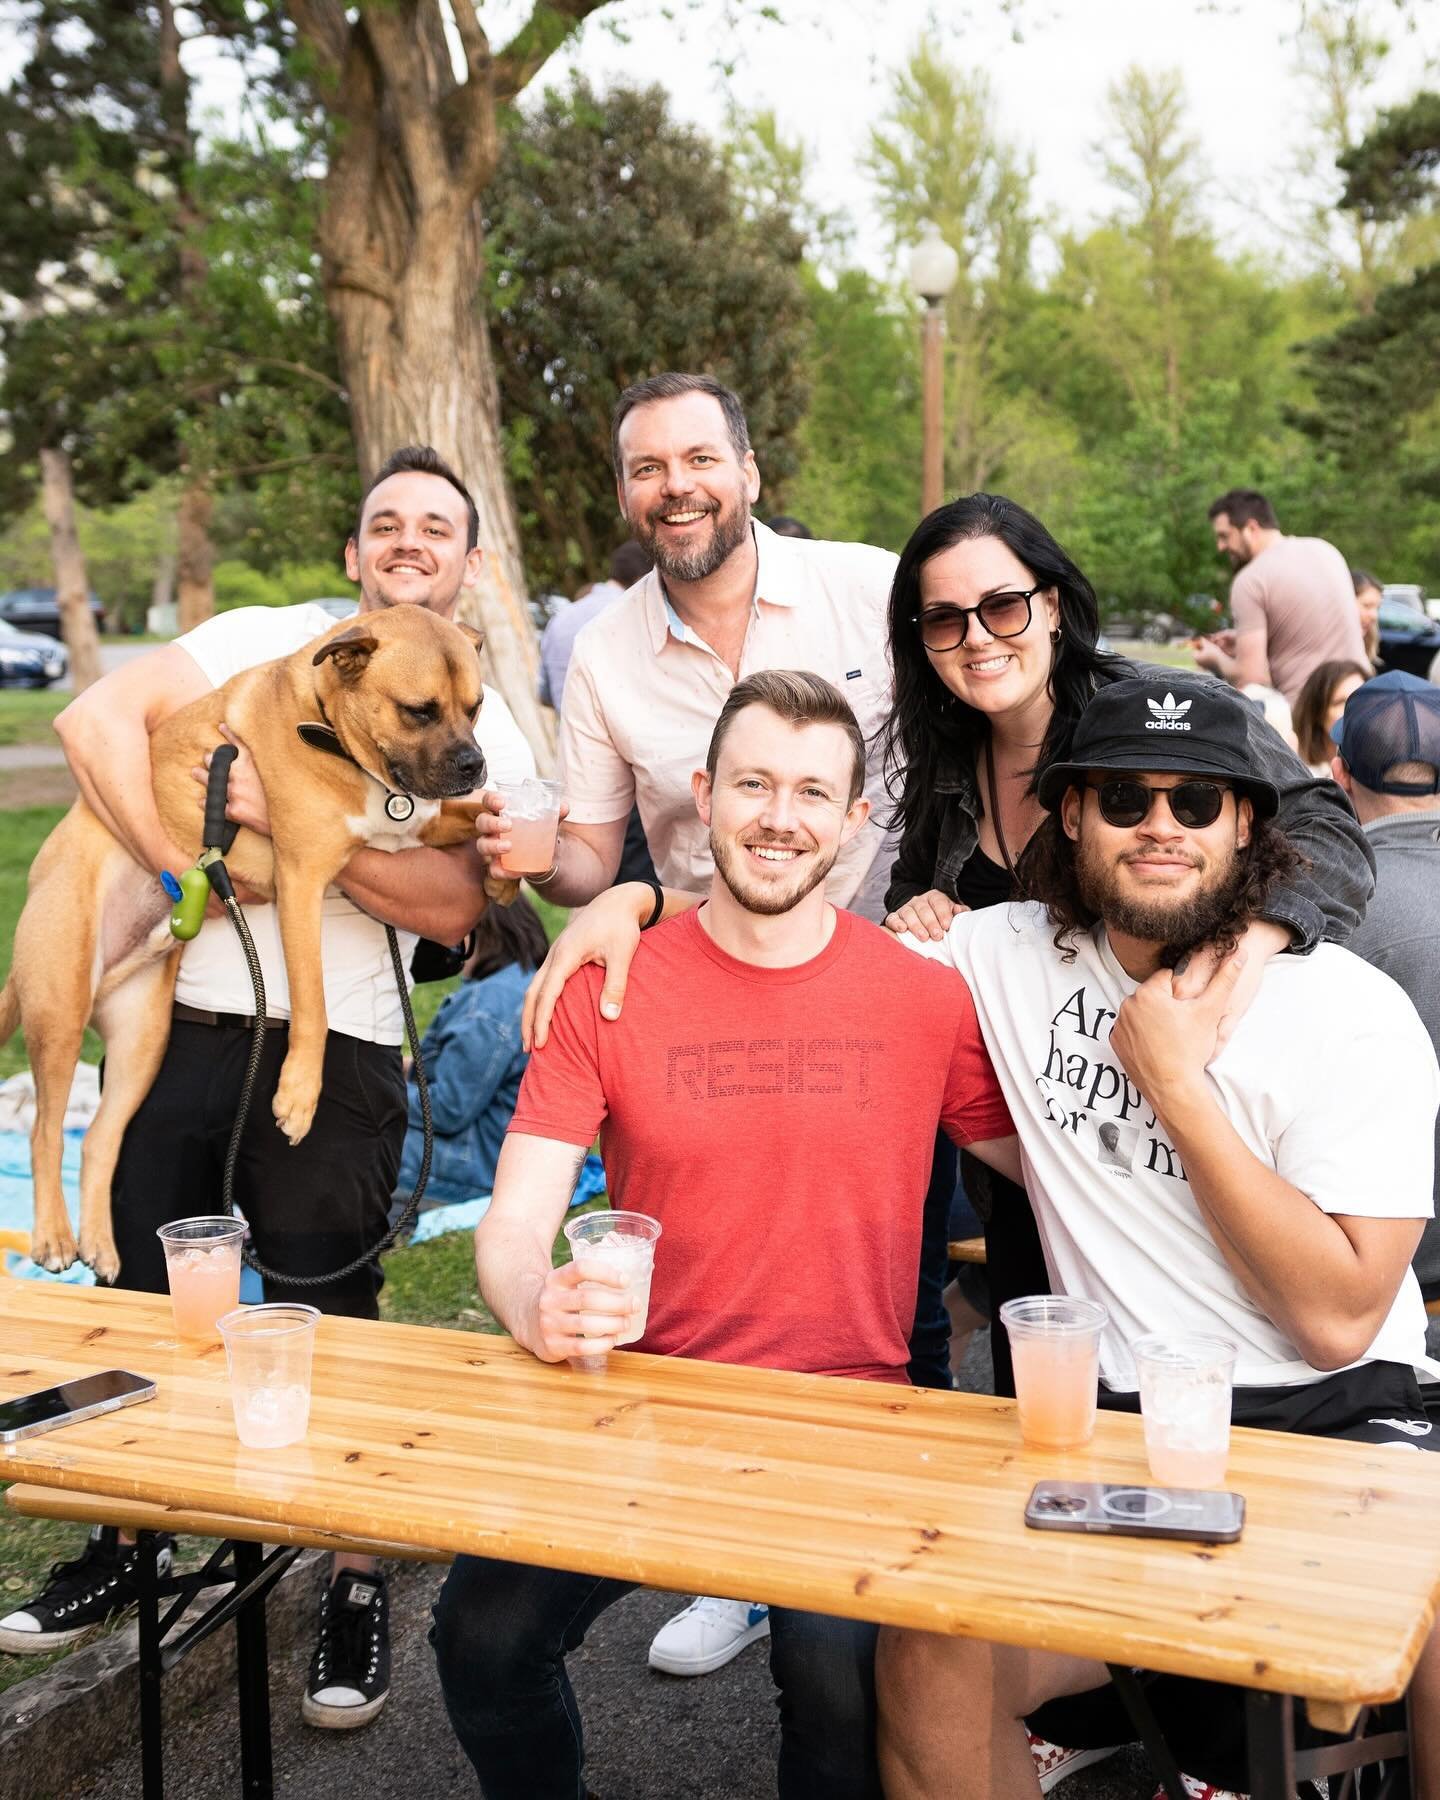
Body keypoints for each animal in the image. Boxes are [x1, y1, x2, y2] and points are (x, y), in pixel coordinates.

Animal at [1, 612, 507, 1288]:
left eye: (475, 709)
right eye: (418, 711)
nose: (475, 764)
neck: (327, 726)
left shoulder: (421, 824)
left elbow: (478, 819)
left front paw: (508, 864)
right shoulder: (303, 881)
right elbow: (314, 1004)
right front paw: (298, 1096)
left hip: (142, 1043)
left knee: (100, 1137)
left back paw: (101, 1247)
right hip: (60, 1011)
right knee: (46, 1129)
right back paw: (55, 1236)